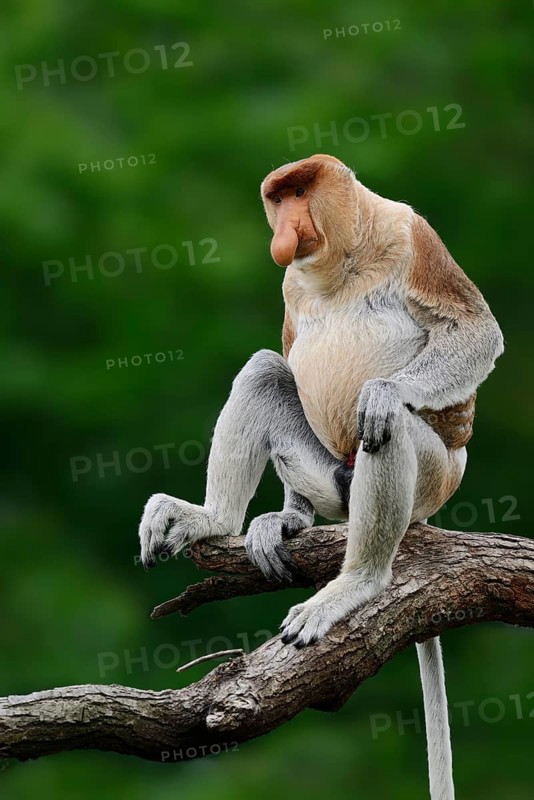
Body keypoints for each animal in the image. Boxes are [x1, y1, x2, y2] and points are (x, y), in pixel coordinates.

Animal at [139, 154, 503, 800]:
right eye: (277, 197)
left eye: (301, 191)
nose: (287, 227)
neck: (345, 257)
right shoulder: (291, 285)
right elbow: (284, 353)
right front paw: (284, 520)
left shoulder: (411, 233)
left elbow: (475, 330)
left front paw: (384, 391)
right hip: (327, 473)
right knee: (264, 369)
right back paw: (219, 520)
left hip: (434, 477)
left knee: (390, 428)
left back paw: (356, 583)